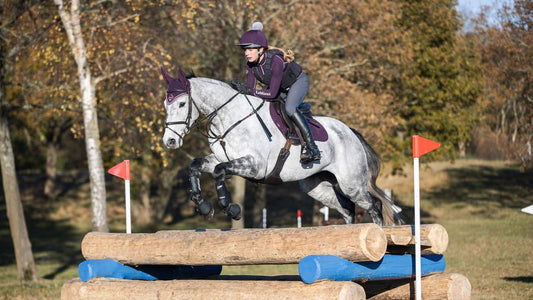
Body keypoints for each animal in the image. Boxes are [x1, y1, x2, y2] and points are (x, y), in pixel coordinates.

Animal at [160, 66, 402, 225]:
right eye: (165, 105)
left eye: (181, 104)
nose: (169, 141)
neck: (229, 117)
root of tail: (350, 132)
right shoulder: (221, 159)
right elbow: (195, 165)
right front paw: (202, 205)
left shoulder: (255, 166)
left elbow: (219, 172)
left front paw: (231, 207)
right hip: (317, 186)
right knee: (347, 209)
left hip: (351, 183)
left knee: (374, 206)